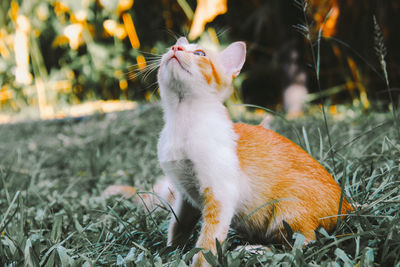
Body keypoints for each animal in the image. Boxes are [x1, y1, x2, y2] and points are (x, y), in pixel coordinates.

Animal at [104, 36, 354, 266]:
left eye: (200, 53)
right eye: (171, 47)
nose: (175, 48)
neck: (182, 121)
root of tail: (348, 206)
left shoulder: (220, 195)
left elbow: (207, 242)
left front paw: (198, 261)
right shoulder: (184, 195)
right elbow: (178, 226)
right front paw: (170, 252)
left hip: (287, 209)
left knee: (303, 247)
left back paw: (254, 250)